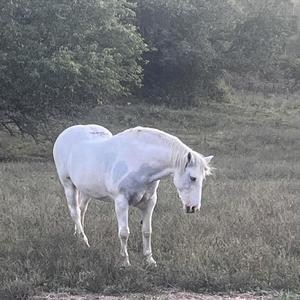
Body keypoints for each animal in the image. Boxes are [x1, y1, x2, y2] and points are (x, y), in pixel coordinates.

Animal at [53, 125, 213, 266]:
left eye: (203, 178)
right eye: (193, 178)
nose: (193, 208)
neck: (138, 160)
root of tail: (64, 134)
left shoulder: (150, 202)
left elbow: (147, 231)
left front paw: (149, 260)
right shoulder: (121, 202)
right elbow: (124, 233)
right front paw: (125, 262)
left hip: (86, 190)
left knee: (81, 210)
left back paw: (79, 236)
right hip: (68, 184)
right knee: (74, 212)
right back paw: (84, 240)